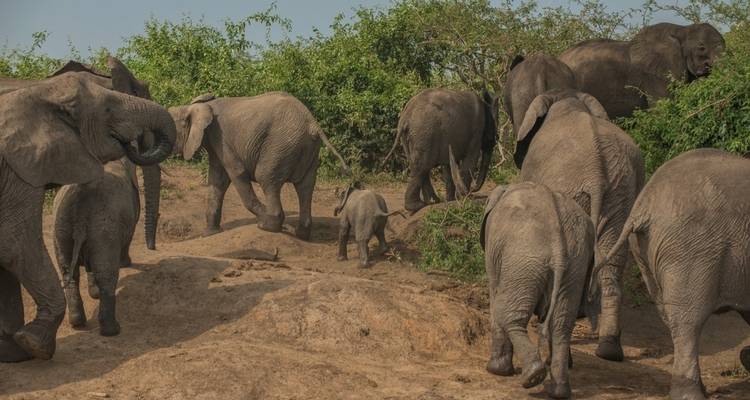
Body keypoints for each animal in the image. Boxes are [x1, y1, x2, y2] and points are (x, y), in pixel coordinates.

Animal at [52, 158, 140, 337]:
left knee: (68, 272)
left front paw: (94, 293)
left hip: (62, 226)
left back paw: (77, 323)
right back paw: (112, 330)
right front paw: (126, 264)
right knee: (107, 274)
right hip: (104, 228)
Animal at [168, 92, 349, 241]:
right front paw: (210, 234)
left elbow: (236, 173)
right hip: (308, 148)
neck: (193, 107)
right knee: (305, 186)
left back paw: (267, 226)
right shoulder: (214, 142)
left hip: (280, 145)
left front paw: (275, 223)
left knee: (266, 177)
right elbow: (216, 181)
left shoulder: (221, 138)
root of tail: (312, 123)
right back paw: (300, 234)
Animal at [480, 182, 595, 399]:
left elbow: (494, 295)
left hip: (523, 258)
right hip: (575, 264)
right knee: (561, 325)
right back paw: (557, 390)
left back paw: (532, 377)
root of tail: (558, 244)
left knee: (508, 314)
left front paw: (495, 370)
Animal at [595, 149, 750, 400]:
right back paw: (691, 394)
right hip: (689, 249)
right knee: (688, 321)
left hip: (648, 251)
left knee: (670, 315)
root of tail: (644, 206)